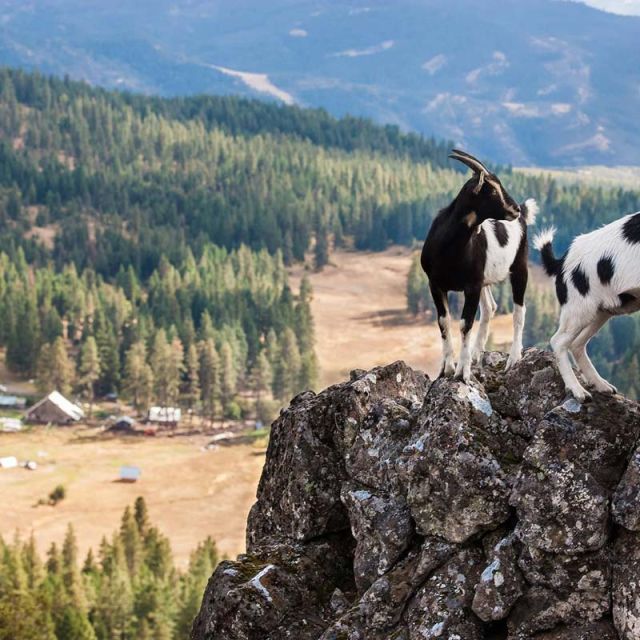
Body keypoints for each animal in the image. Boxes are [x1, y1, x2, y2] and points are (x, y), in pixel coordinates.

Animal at [421, 149, 538, 382]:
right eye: (491, 190)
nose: (515, 209)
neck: (449, 248)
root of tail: (524, 219)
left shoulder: (471, 286)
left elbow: (465, 324)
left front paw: (462, 373)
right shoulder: (436, 284)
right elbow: (443, 321)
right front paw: (447, 369)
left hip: (520, 267)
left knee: (519, 311)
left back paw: (513, 358)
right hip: (485, 279)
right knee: (489, 307)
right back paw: (477, 353)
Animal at [534, 214, 640, 402]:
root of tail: (561, 263)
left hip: (601, 311)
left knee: (577, 344)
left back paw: (604, 387)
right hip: (579, 309)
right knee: (558, 340)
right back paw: (580, 393)